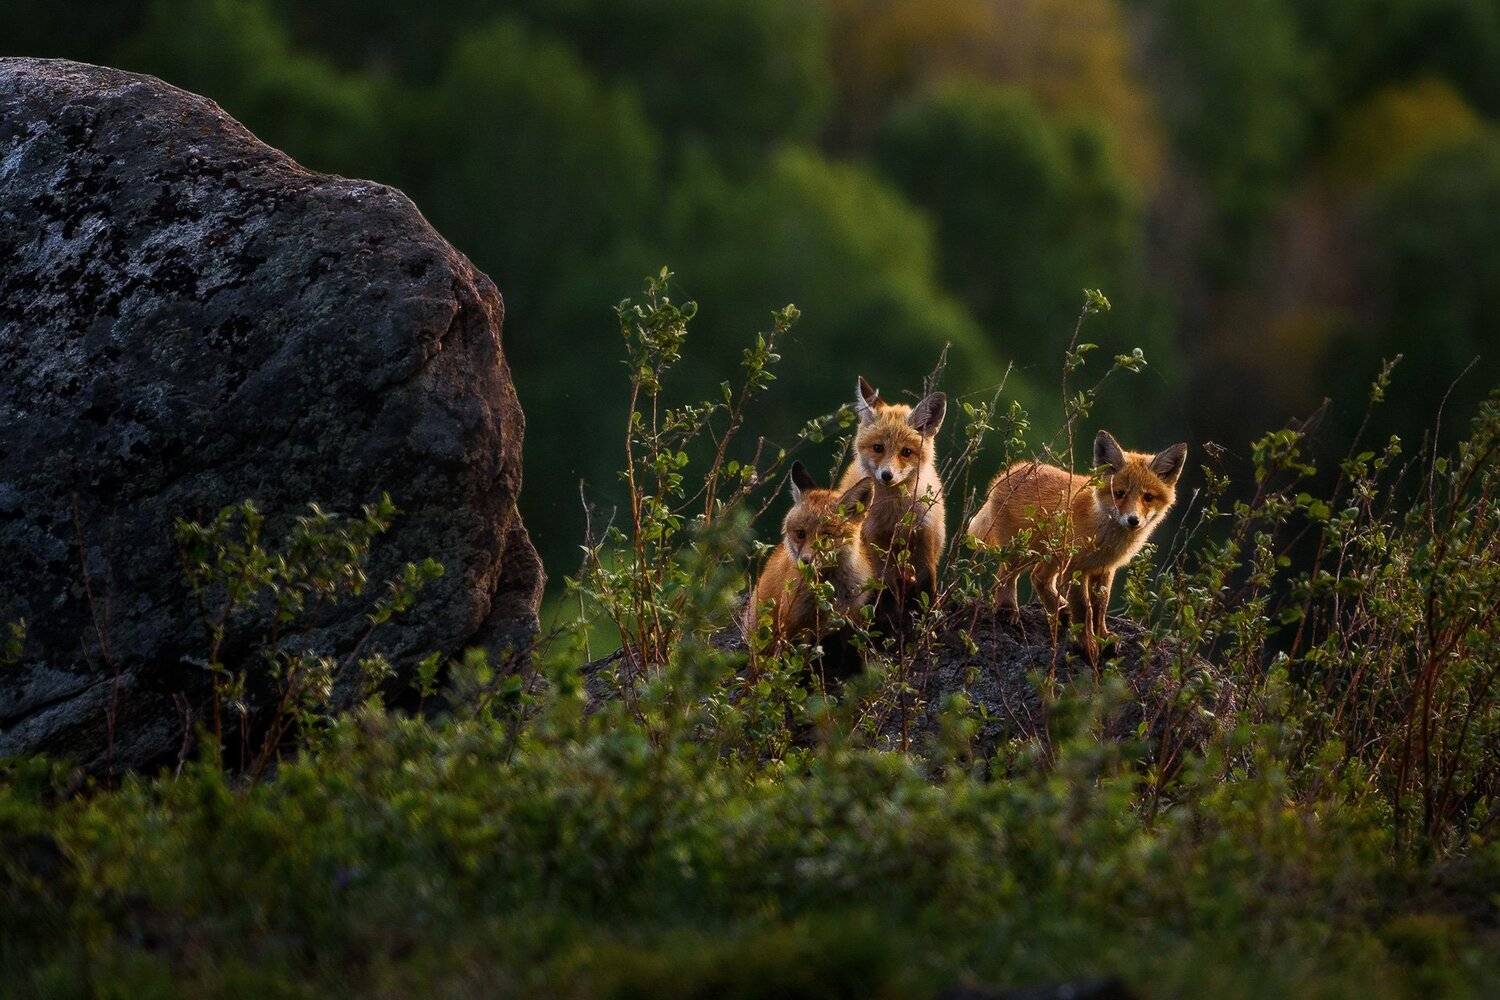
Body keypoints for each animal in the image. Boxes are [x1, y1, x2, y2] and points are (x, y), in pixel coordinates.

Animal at [837, 375, 947, 609]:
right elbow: (885, 589)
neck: (896, 514)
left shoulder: (925, 536)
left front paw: (926, 611)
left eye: (906, 452)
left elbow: (926, 586)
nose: (887, 475)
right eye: (878, 448)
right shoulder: (875, 542)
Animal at [967, 430, 1188, 661]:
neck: (1102, 531)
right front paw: (1087, 645)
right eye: (1119, 493)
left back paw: (1060, 610)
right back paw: (1008, 609)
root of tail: (1008, 473)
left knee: (1038, 578)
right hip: (1024, 552)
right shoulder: (1076, 568)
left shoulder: (1103, 569)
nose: (1133, 520)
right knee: (1005, 576)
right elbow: (1084, 610)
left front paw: (1103, 637)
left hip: (1052, 556)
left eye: (1148, 497)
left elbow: (1100, 608)